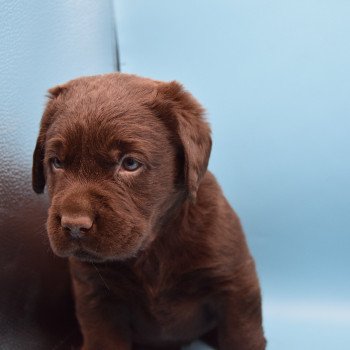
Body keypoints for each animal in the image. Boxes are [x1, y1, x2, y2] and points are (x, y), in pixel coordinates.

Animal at [32, 72, 266, 348]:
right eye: (56, 162)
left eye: (130, 163)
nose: (74, 225)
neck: (152, 247)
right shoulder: (95, 295)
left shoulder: (235, 283)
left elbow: (243, 336)